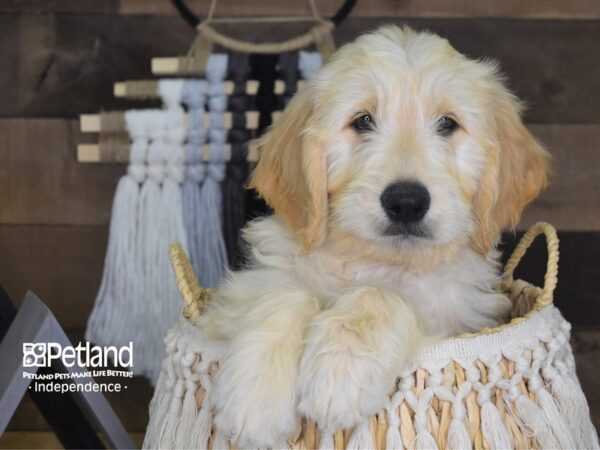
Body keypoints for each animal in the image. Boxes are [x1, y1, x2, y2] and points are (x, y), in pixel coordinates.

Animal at [196, 25, 548, 450]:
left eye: (448, 124)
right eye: (362, 120)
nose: (407, 203)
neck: (374, 260)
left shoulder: (450, 319)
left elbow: (381, 297)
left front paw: (340, 372)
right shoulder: (233, 299)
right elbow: (285, 292)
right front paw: (255, 393)